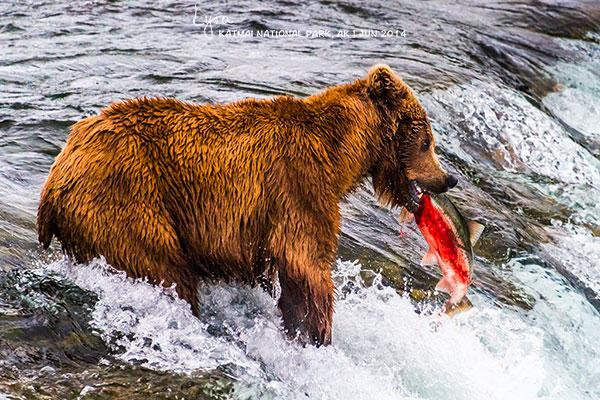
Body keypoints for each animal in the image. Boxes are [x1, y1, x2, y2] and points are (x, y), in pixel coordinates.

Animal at [37, 64, 458, 346]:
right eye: (427, 141)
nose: (449, 178)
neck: (342, 154)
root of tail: (56, 175)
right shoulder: (298, 187)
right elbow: (307, 263)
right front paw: (314, 332)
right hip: (128, 200)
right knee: (166, 270)